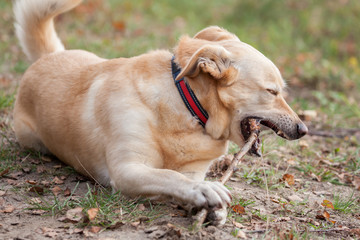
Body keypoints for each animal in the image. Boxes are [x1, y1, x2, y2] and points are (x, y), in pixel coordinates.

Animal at [12, 0, 308, 225]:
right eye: (272, 91)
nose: (303, 129)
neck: (187, 107)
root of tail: (46, 57)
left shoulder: (192, 169)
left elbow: (180, 177)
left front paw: (212, 207)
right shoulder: (127, 169)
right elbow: (169, 176)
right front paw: (206, 190)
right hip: (32, 140)